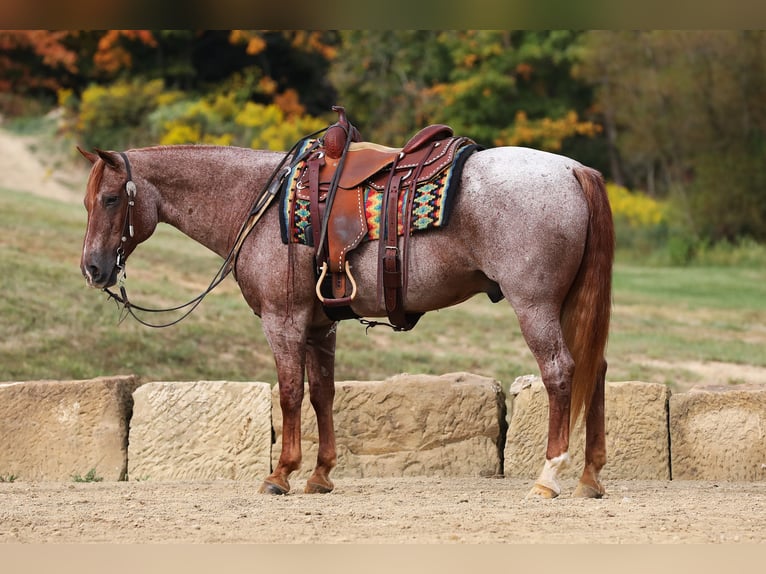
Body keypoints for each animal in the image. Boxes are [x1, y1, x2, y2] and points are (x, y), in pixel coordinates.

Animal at [78, 135, 616, 500]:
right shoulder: (321, 326)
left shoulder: (283, 320)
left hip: (536, 306)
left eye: (110, 199)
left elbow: (290, 393)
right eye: (88, 201)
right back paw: (590, 477)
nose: (93, 268)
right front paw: (320, 475)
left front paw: (281, 474)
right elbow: (322, 394)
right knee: (595, 371)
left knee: (561, 373)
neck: (262, 204)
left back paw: (549, 477)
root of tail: (574, 170)